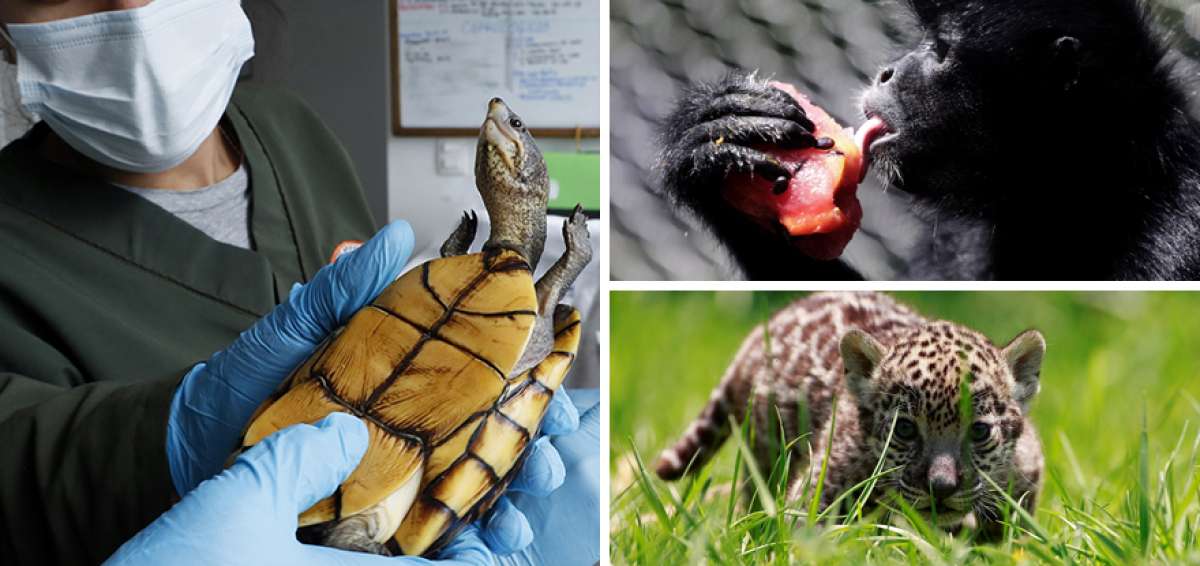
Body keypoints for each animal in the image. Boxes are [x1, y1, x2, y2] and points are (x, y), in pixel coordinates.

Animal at [654, 292, 1045, 538]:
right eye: (904, 430)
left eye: (979, 432)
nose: (941, 487)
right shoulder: (817, 492)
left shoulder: (1026, 472)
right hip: (766, 454)